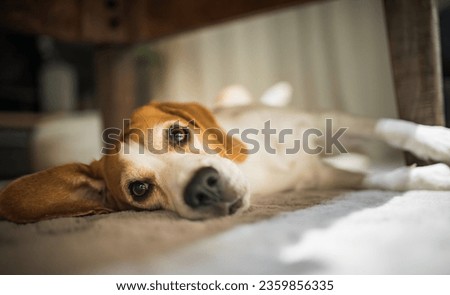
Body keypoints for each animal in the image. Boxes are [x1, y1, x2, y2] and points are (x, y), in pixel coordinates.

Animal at [0, 92, 450, 224]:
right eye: (140, 189)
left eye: (178, 133)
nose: (202, 187)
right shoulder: (321, 178)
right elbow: (390, 178)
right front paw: (433, 176)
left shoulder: (327, 121)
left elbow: (393, 126)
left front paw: (438, 141)